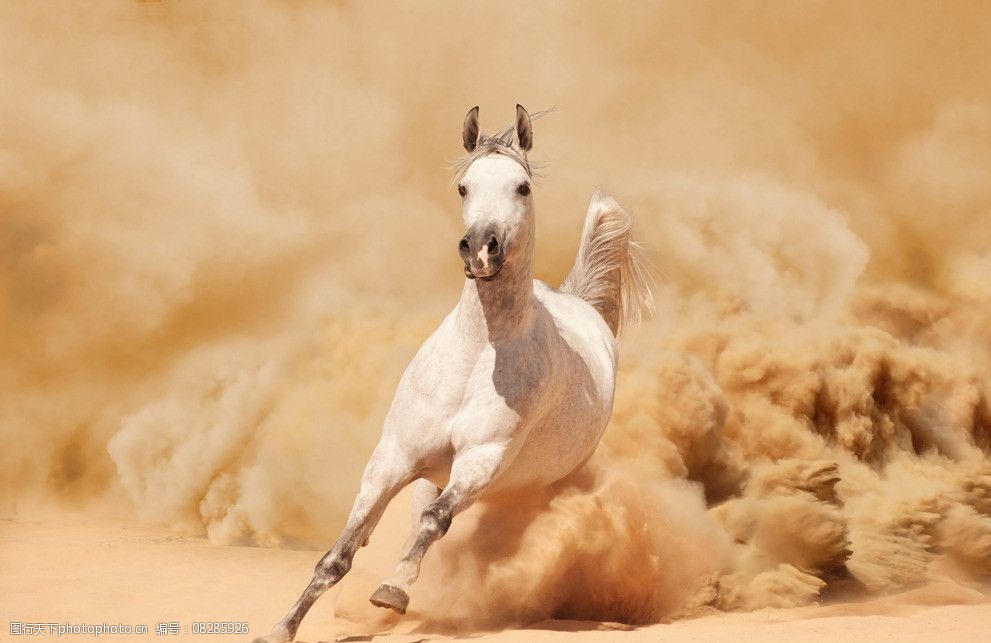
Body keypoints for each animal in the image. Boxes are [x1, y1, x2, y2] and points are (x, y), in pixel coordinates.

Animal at [258, 105, 652, 643]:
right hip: (433, 472)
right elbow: (340, 554)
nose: (481, 249)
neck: (476, 358)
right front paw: (283, 627)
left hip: (532, 483)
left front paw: (390, 593)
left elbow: (434, 522)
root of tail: (582, 305)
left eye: (522, 187)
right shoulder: (393, 458)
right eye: (464, 187)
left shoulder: (480, 461)